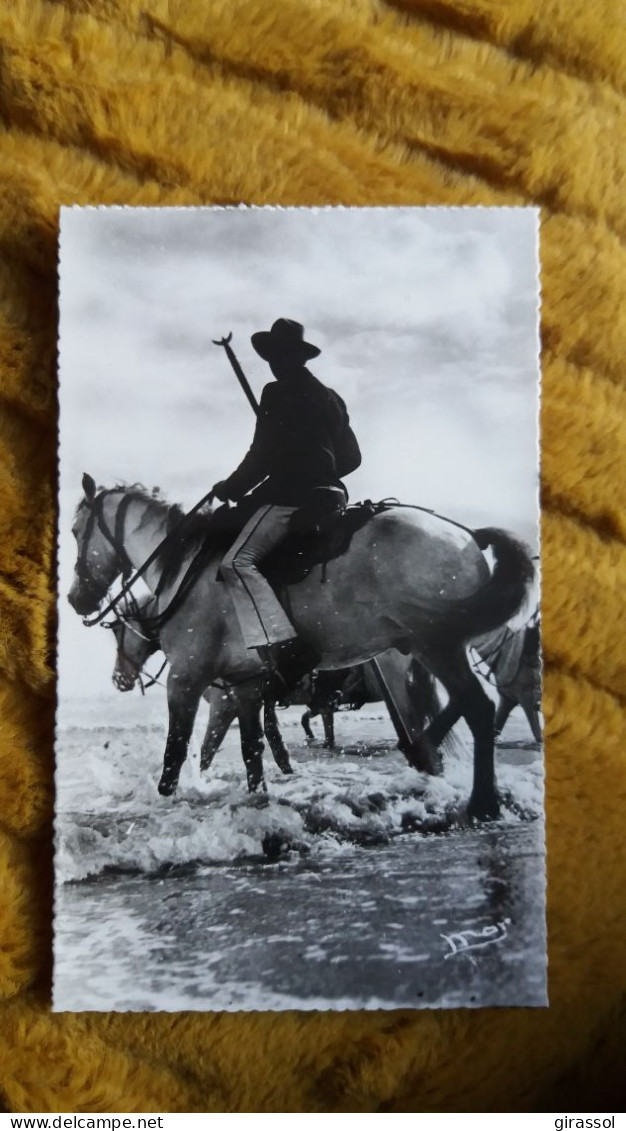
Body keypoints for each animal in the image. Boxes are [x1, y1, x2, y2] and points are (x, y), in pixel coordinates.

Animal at [70, 472, 534, 818]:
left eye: (75, 531)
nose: (77, 599)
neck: (184, 568)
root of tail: (466, 534)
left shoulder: (186, 679)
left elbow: (176, 756)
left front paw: (169, 801)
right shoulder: (244, 686)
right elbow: (251, 752)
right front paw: (258, 800)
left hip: (436, 644)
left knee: (478, 708)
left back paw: (481, 801)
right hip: (429, 646)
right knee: (456, 708)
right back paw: (424, 752)